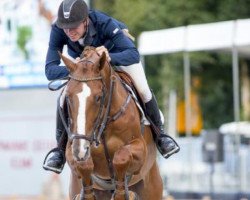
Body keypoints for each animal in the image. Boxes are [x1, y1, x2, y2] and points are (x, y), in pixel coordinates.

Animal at [59, 47, 163, 200]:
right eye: (68, 96)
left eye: (98, 97)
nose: (80, 150)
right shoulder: (72, 149)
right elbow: (83, 165)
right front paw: (87, 195)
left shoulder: (140, 148)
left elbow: (121, 157)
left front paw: (121, 195)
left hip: (151, 186)